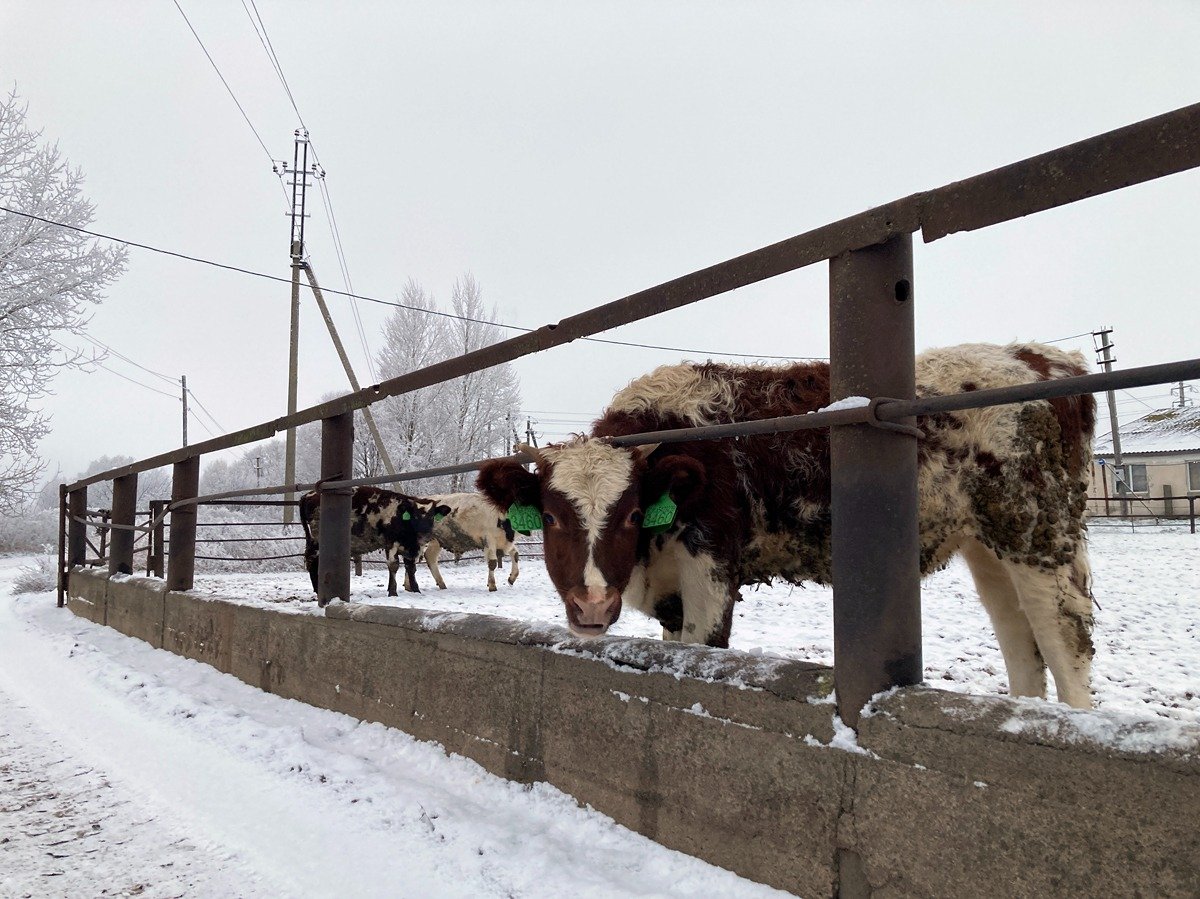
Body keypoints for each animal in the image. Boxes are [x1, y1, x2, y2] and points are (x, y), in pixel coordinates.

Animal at [298, 487, 451, 600]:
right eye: (415, 515)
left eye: (432, 515)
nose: (425, 533)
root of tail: (308, 494)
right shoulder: (390, 543)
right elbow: (393, 565)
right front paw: (393, 592)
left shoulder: (411, 547)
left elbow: (411, 568)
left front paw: (415, 590)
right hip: (318, 541)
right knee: (312, 560)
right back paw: (318, 590)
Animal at [477, 343, 1099, 710]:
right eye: (551, 516)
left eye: (631, 513)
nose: (591, 606)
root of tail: (1044, 357)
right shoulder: (673, 592)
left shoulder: (711, 570)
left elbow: (704, 651)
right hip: (988, 545)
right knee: (1019, 637)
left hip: (1040, 534)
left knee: (1064, 638)